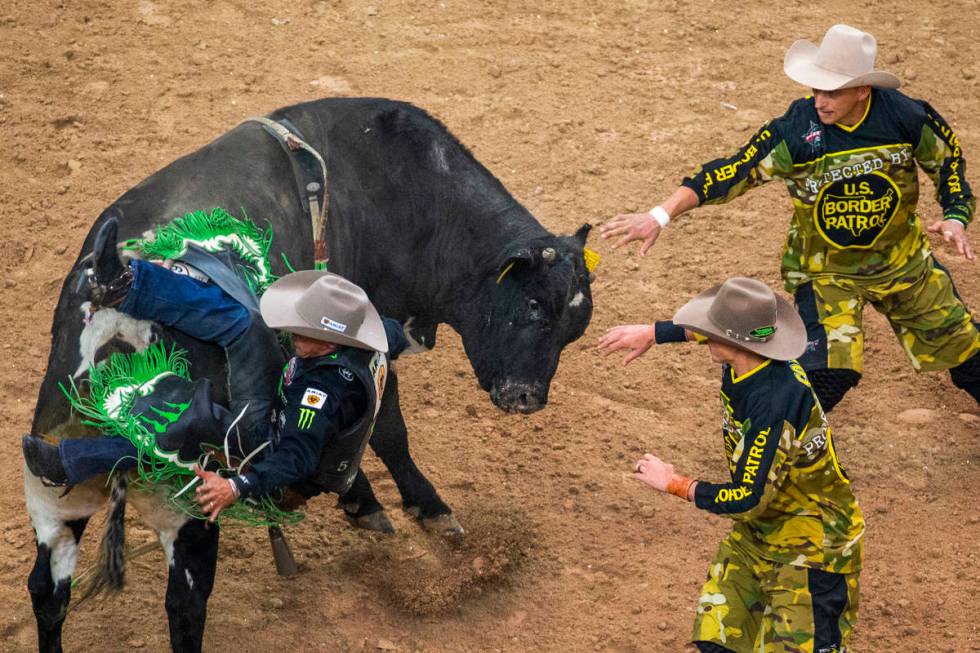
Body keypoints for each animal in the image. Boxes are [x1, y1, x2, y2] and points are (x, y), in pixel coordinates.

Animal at [24, 98, 588, 652]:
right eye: (533, 306)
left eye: (573, 330)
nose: (526, 398)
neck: (409, 196)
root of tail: (110, 320)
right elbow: (388, 429)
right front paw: (423, 507)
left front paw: (362, 501)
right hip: (185, 516)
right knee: (184, 606)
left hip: (58, 508)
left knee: (48, 590)